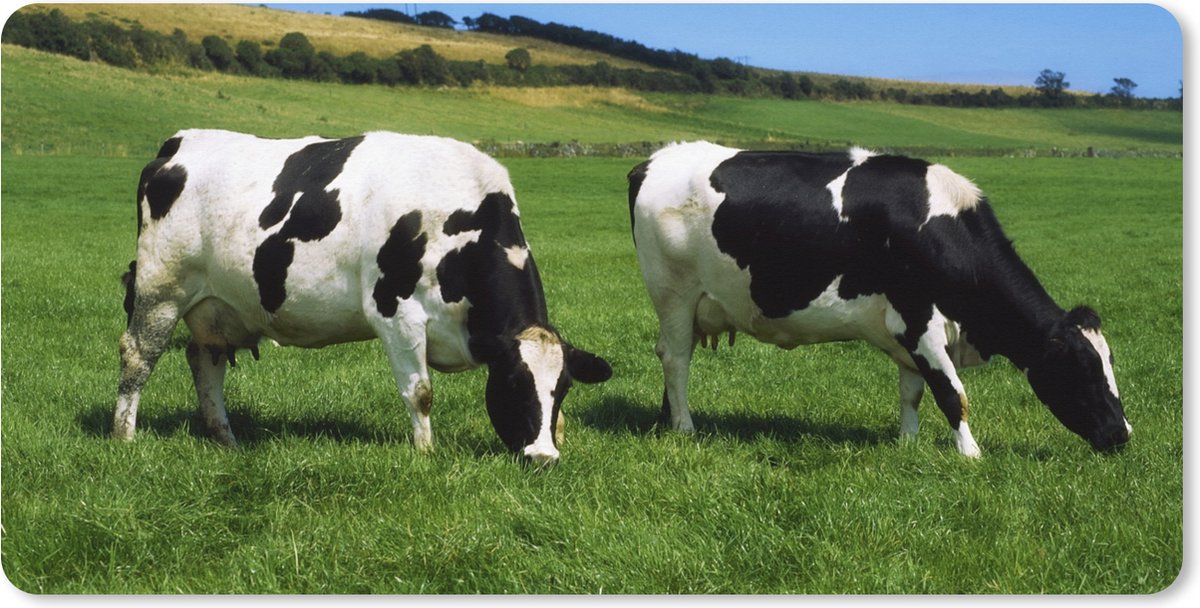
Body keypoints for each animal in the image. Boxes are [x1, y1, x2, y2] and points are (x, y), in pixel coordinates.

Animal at [115, 129, 612, 464]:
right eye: (512, 383)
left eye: (564, 388)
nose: (542, 458)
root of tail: (179, 143)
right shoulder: (397, 314)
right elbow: (421, 393)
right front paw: (426, 454)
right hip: (160, 289)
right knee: (137, 356)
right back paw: (125, 437)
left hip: (215, 306)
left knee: (204, 361)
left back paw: (226, 440)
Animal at [627, 141, 1130, 457]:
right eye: (1083, 369)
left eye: (1109, 363)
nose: (1122, 434)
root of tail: (653, 161)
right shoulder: (920, 321)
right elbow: (953, 393)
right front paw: (970, 453)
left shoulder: (907, 334)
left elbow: (913, 392)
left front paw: (907, 443)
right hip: (674, 293)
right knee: (676, 359)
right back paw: (686, 427)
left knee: (671, 360)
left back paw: (669, 419)